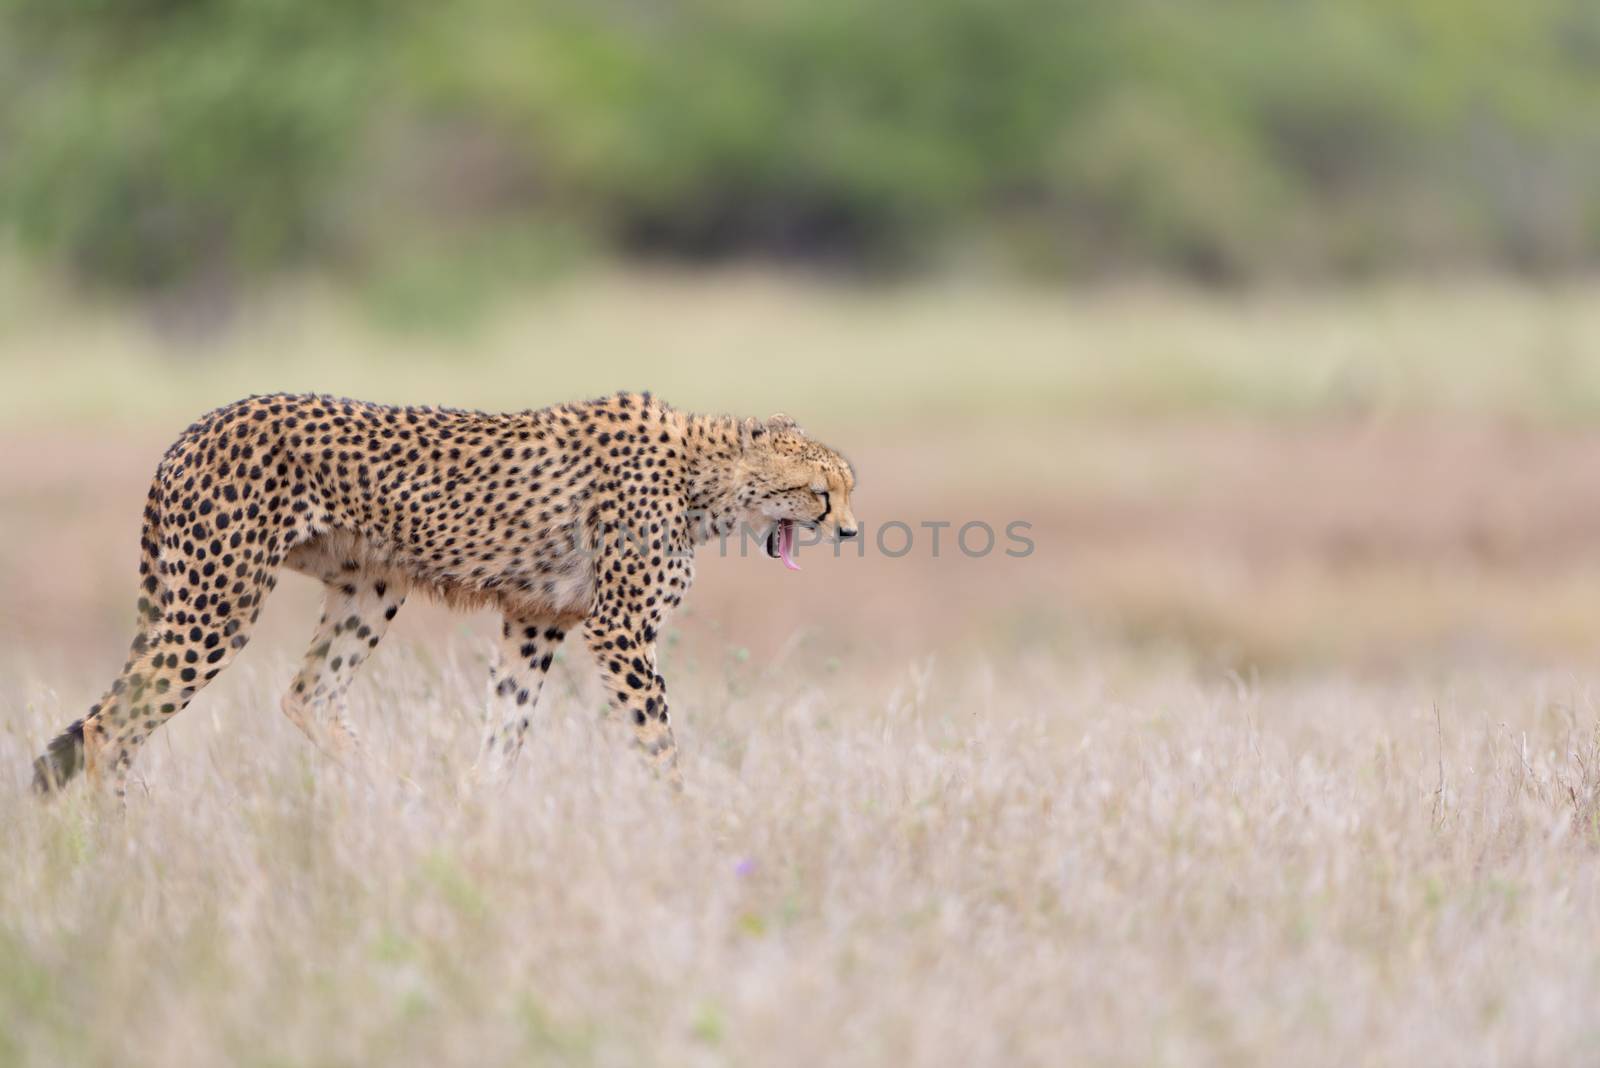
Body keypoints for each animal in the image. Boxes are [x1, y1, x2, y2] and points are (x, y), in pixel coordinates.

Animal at [31, 388, 857, 796]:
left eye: (848, 489)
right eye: (820, 492)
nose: (850, 532)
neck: (705, 475)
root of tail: (193, 429)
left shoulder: (537, 617)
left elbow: (507, 725)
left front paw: (482, 803)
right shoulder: (618, 629)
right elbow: (658, 740)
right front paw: (688, 820)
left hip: (369, 586)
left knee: (308, 696)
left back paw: (394, 785)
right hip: (217, 602)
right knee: (109, 727)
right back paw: (119, 850)